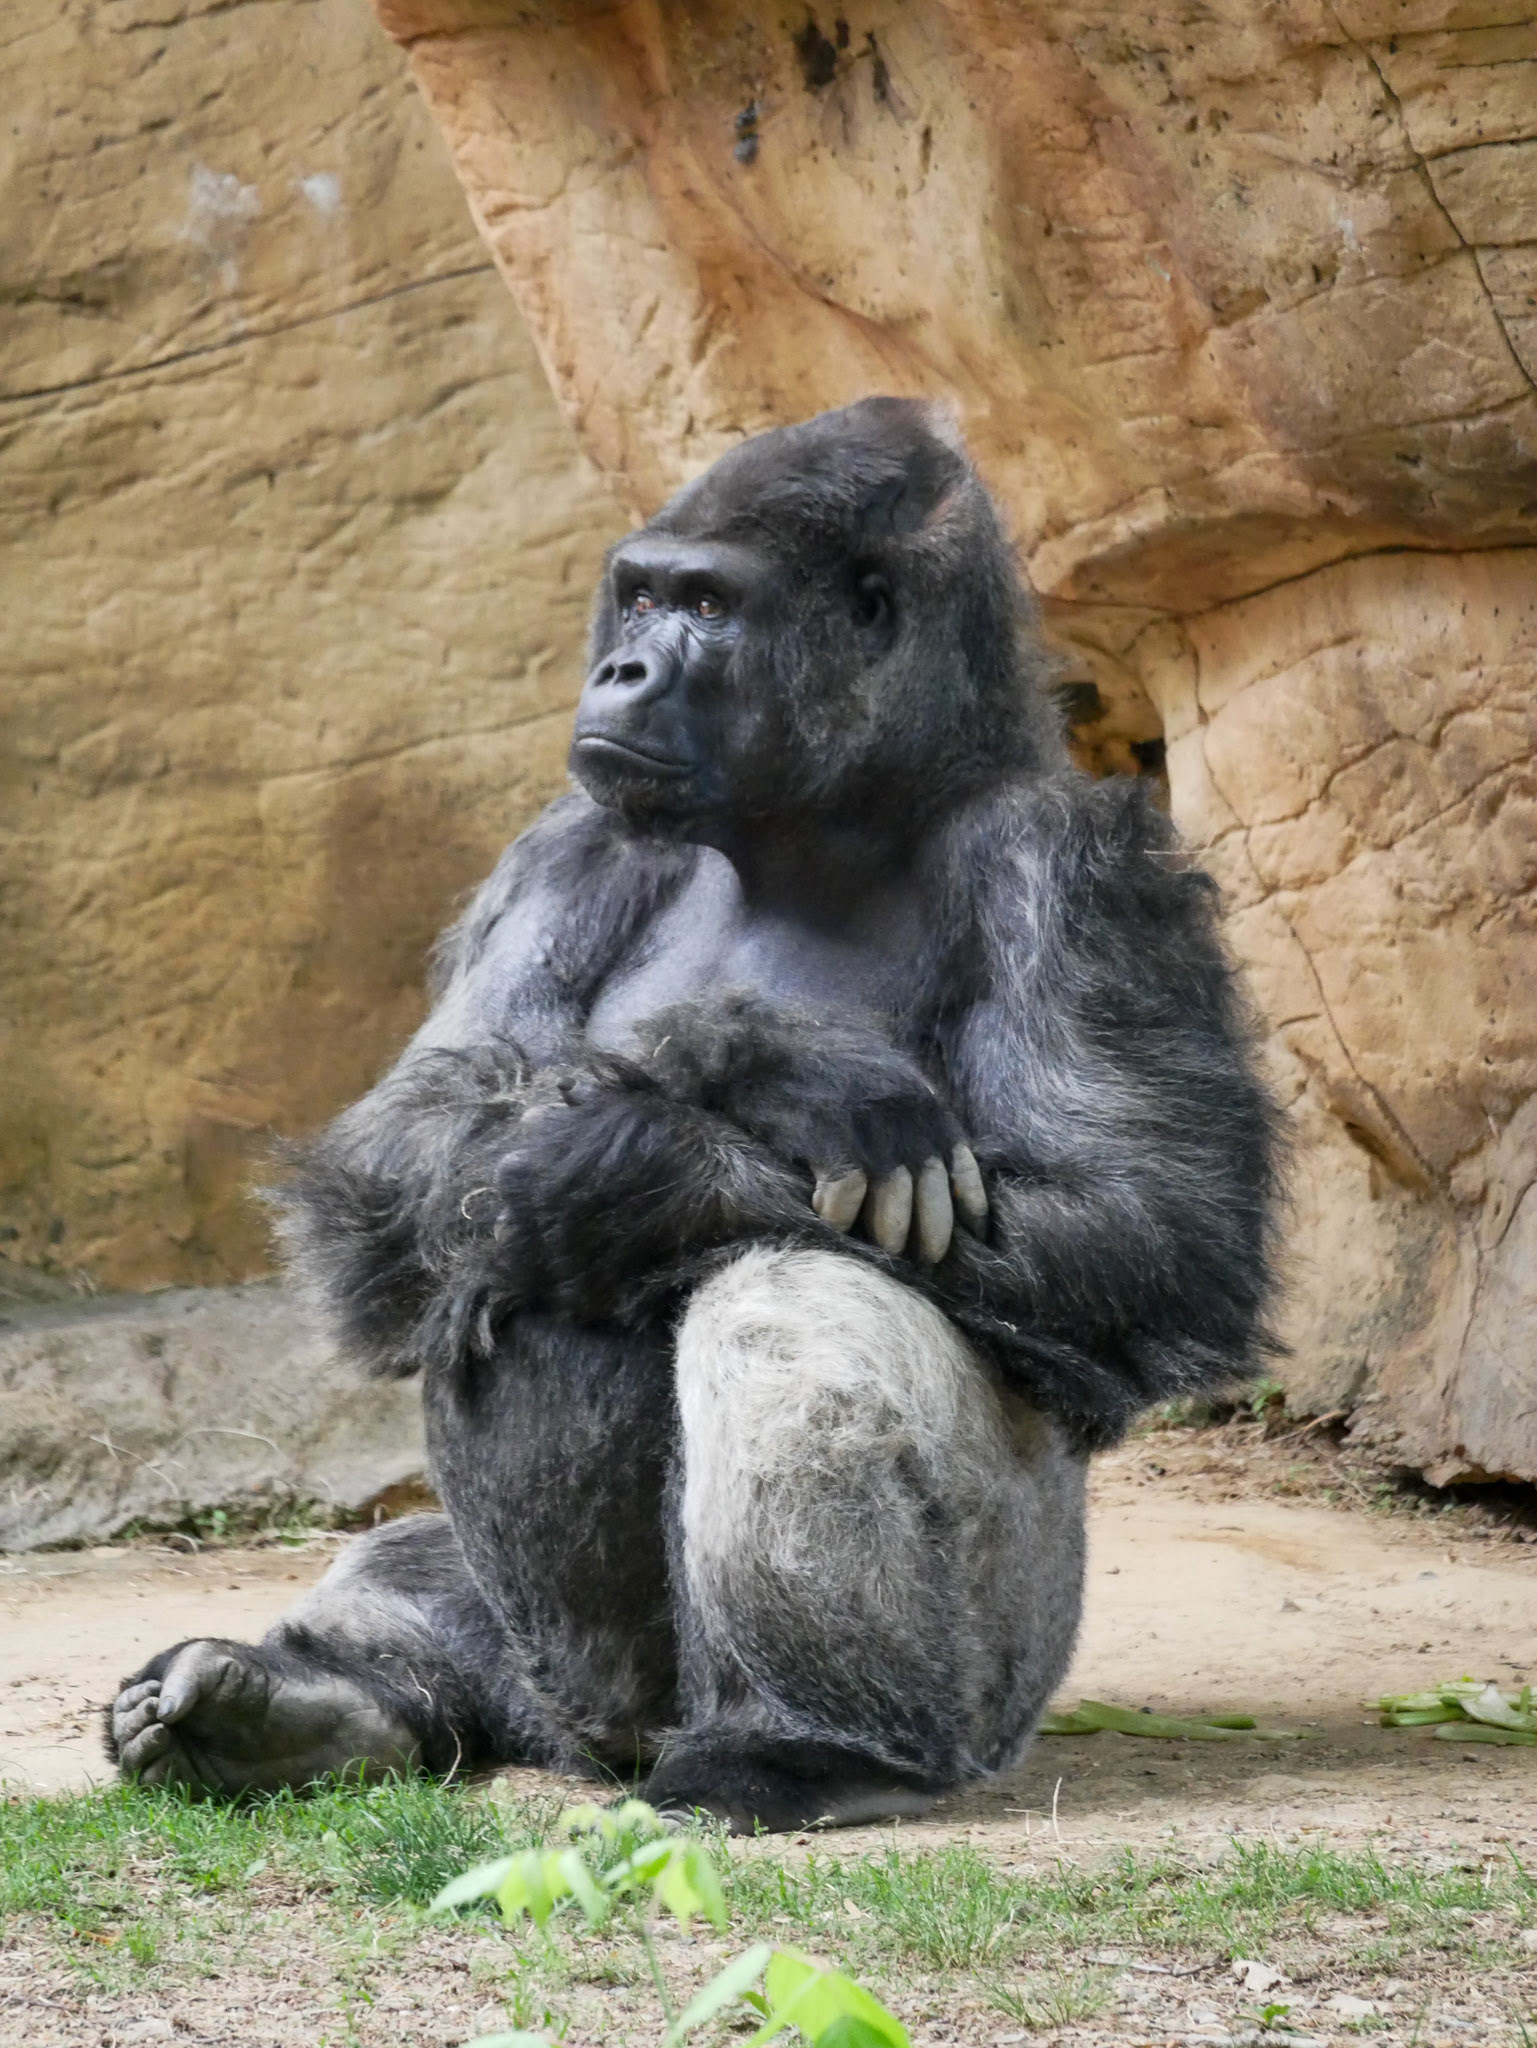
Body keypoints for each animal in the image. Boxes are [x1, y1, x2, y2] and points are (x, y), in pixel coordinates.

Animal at [107, 398, 1278, 1830]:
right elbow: (397, 1150)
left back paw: (809, 1742)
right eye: (644, 593)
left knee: (788, 1294)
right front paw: (749, 1072)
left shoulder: (1074, 866)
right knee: (446, 1466)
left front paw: (646, 1158)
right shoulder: (563, 848)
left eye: (709, 607)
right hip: (555, 1695)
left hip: (1003, 1682)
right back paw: (307, 1699)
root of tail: (594, 1742)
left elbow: (1148, 1228)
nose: (620, 671)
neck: (830, 820)